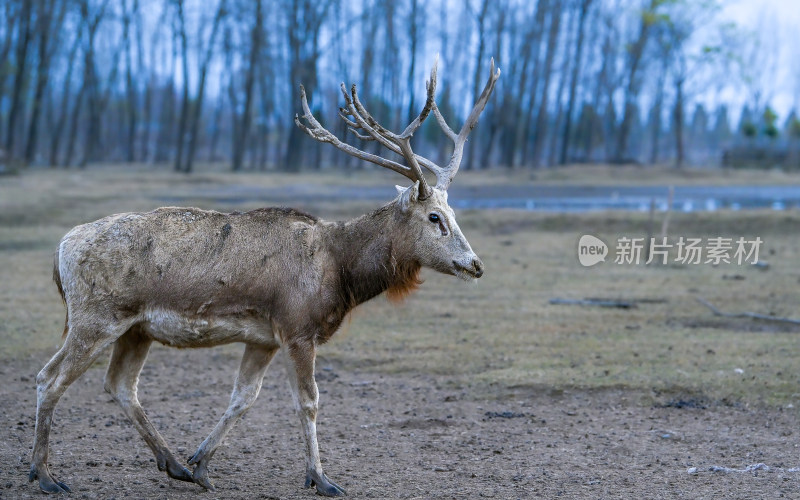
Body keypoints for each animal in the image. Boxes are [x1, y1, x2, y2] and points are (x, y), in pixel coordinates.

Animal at [29, 56, 500, 494]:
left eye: (454, 213)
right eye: (435, 217)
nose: (475, 264)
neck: (339, 273)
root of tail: (61, 249)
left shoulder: (263, 338)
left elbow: (244, 398)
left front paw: (201, 464)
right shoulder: (297, 328)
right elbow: (308, 402)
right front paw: (321, 478)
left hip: (135, 329)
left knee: (120, 385)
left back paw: (174, 464)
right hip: (96, 317)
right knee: (49, 378)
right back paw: (46, 475)